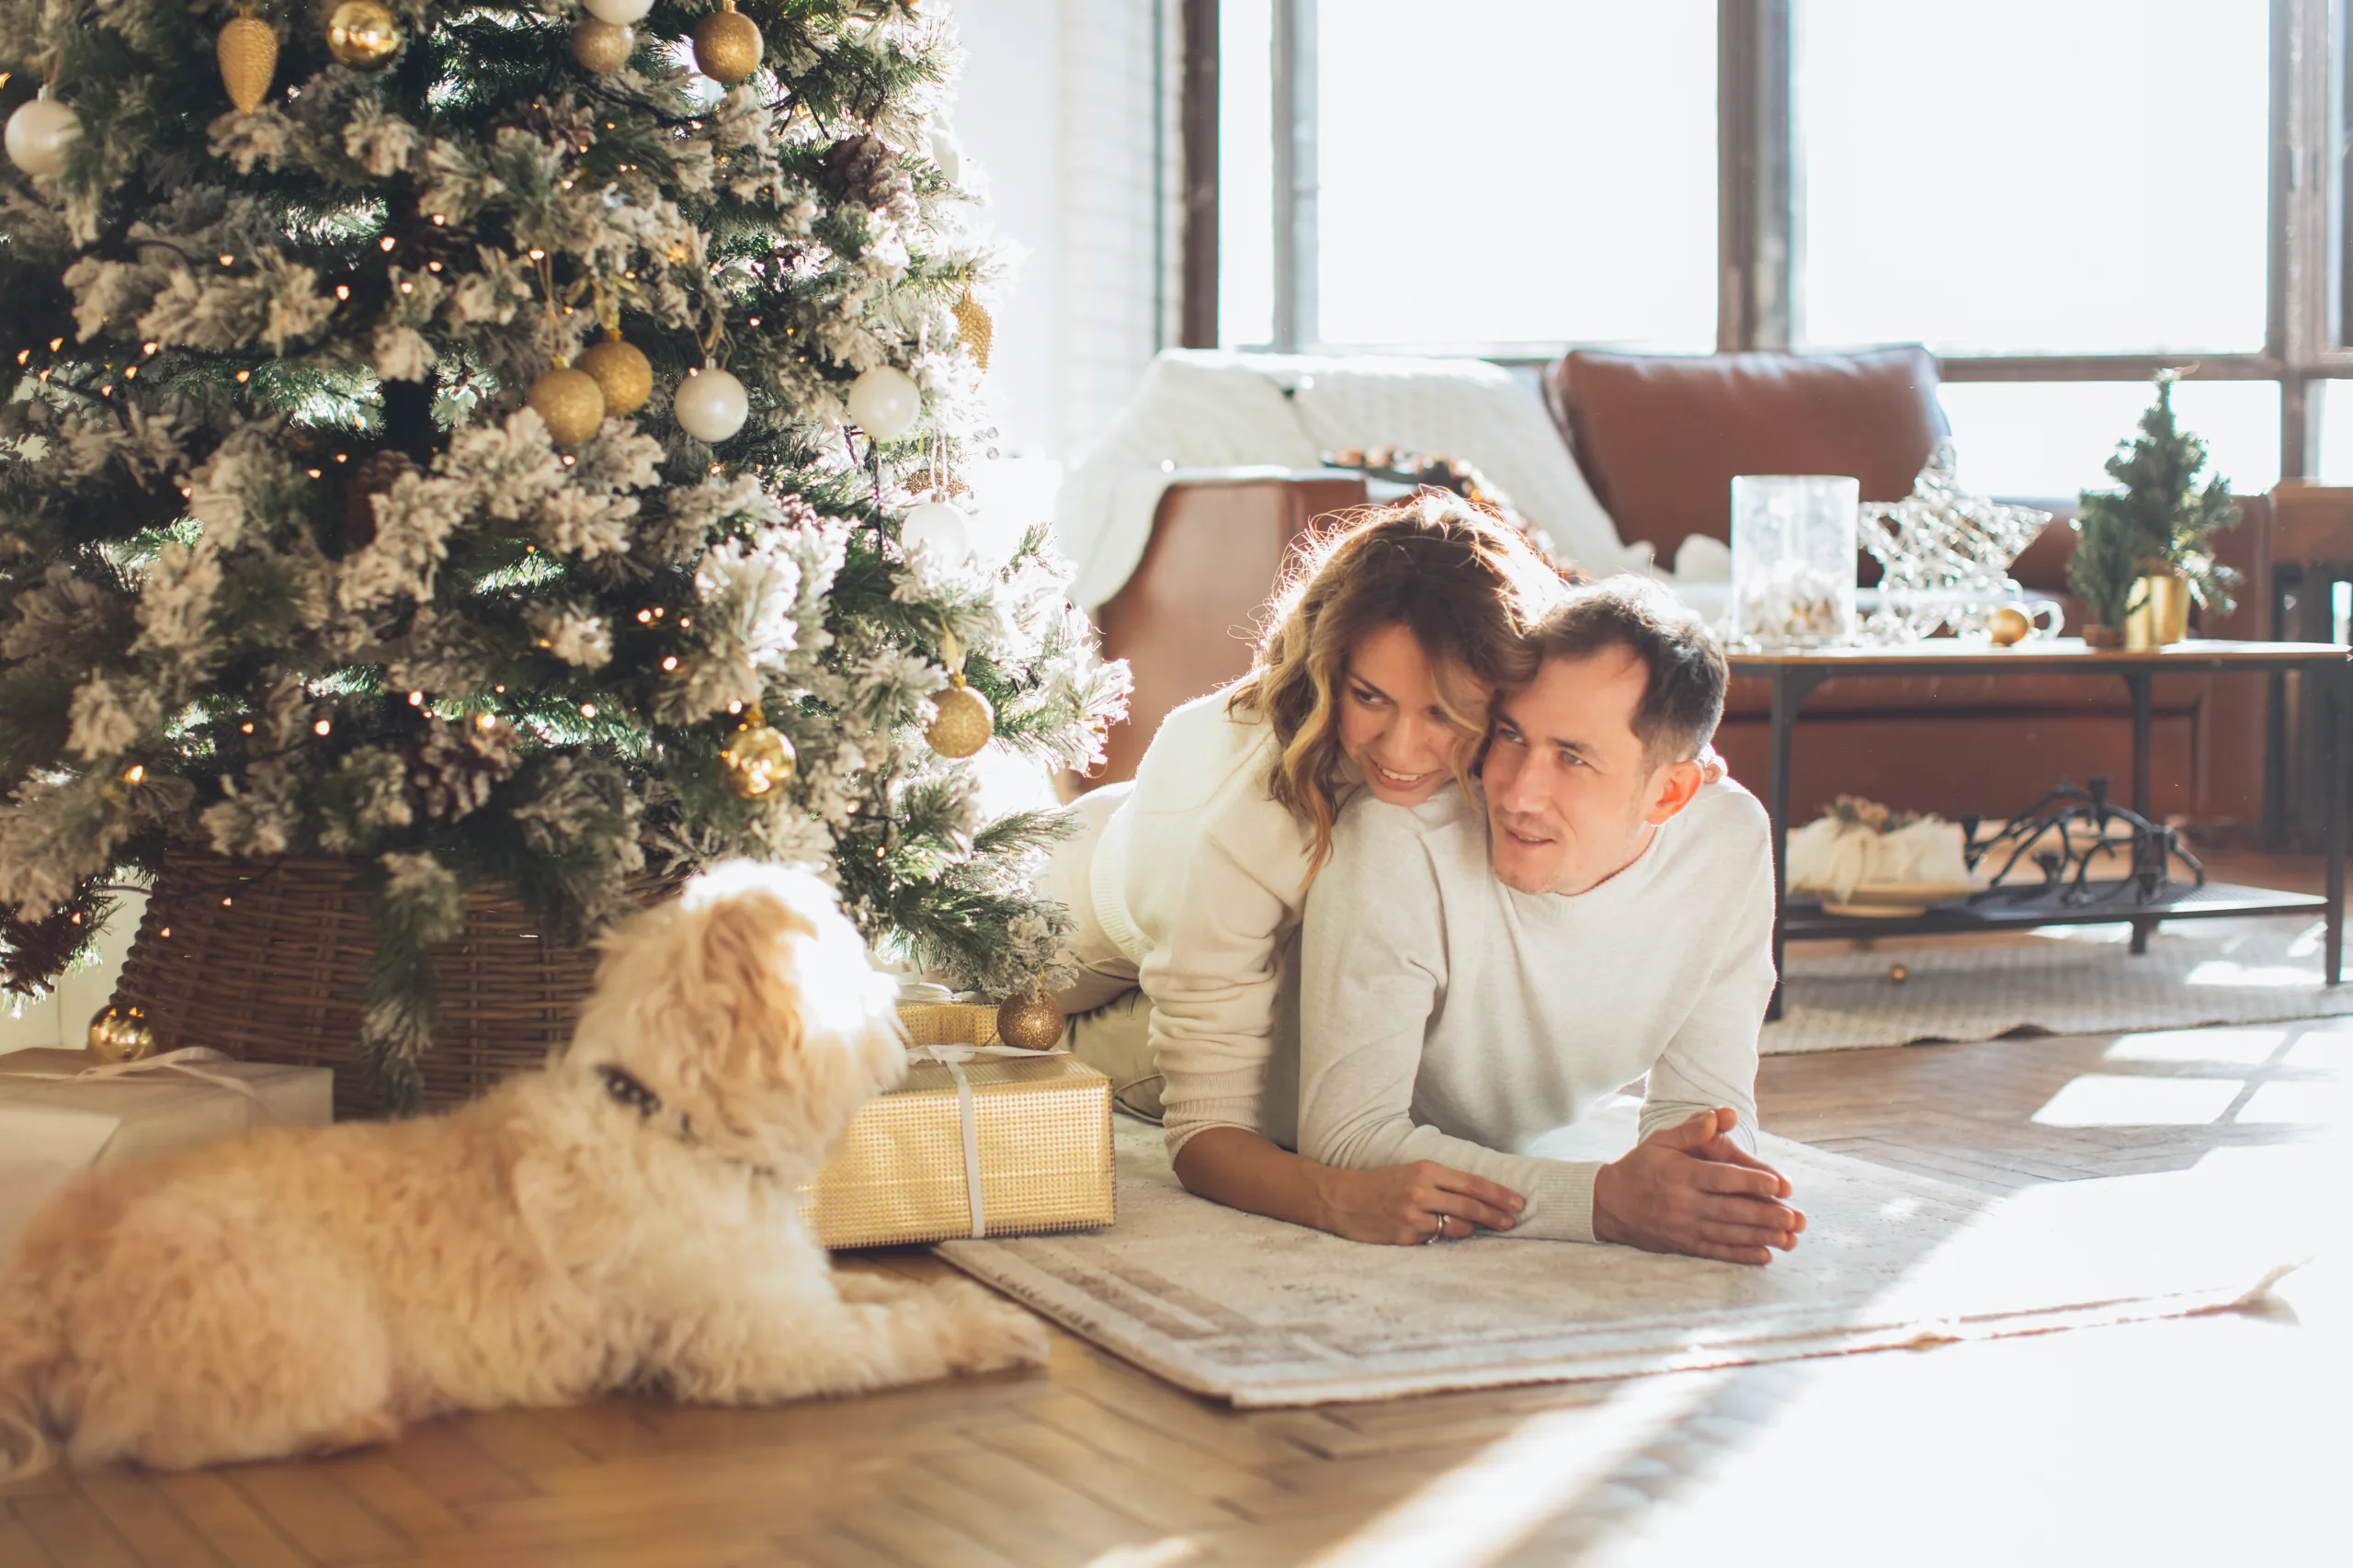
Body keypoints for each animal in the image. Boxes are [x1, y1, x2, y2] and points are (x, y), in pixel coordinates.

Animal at [0, 861, 1049, 1469]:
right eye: (848, 960)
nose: (898, 1003)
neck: (658, 1117)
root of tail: (48, 1279)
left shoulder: (790, 1291)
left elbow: (884, 1290)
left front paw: (967, 1301)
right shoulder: (762, 1344)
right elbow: (897, 1335)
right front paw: (986, 1332)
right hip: (308, 1330)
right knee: (159, 1436)